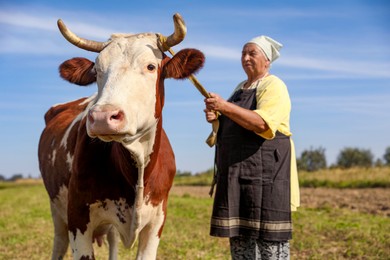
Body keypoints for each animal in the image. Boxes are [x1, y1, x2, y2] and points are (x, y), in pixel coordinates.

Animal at [38, 14, 206, 260]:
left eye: (151, 66)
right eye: (97, 71)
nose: (101, 116)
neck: (136, 167)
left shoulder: (156, 222)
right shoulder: (78, 218)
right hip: (57, 210)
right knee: (59, 243)